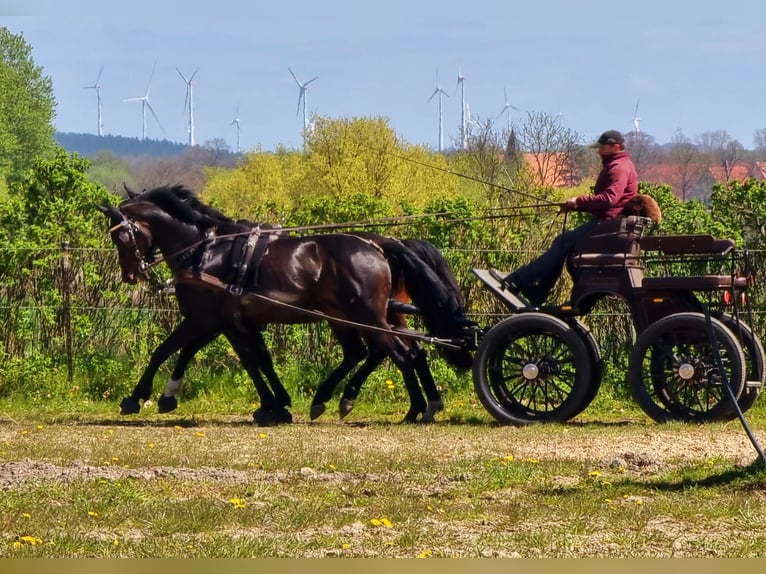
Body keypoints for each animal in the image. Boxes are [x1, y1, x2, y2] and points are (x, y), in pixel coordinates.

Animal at [100, 184, 474, 424]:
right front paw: (274, 404)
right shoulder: (233, 321)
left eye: (122, 236)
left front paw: (141, 397)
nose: (130, 275)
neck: (205, 250)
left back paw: (397, 405)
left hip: (366, 315)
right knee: (386, 351)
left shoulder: (204, 318)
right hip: (357, 315)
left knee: (398, 353)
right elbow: (255, 361)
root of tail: (380, 244)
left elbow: (167, 350)